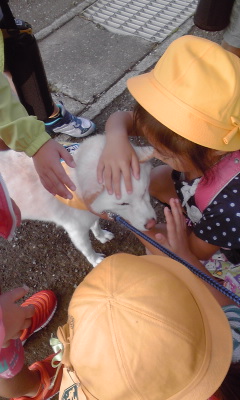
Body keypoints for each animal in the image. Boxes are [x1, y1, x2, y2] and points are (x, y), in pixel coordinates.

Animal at [0, 134, 157, 266]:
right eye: (123, 203)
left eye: (144, 192)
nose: (152, 224)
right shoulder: (76, 230)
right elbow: (87, 249)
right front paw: (96, 260)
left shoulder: (91, 213)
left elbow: (95, 225)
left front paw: (101, 236)